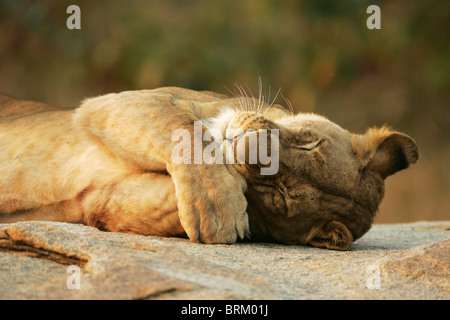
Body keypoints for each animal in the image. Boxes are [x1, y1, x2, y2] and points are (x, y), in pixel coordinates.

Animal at [0, 87, 418, 250]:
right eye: (308, 141)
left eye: (281, 193)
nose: (243, 145)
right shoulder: (121, 101)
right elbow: (186, 129)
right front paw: (216, 206)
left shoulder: (101, 202)